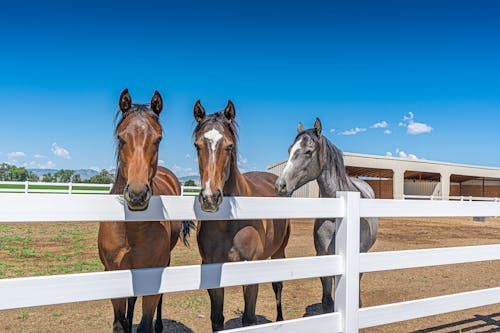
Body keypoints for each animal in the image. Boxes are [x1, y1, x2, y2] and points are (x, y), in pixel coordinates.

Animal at [192, 99, 292, 330]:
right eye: (197, 145)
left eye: (229, 146)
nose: (210, 198)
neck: (229, 224)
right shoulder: (212, 268)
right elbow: (216, 318)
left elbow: (249, 318)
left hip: (279, 251)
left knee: (278, 286)